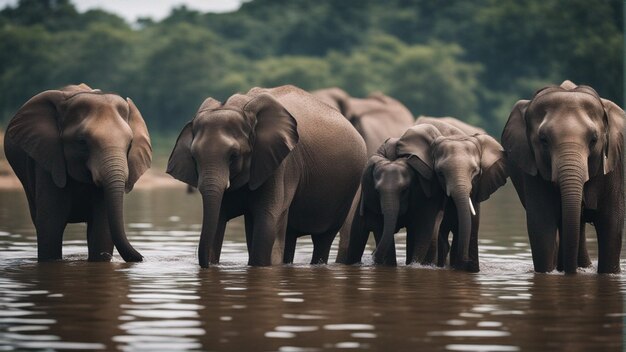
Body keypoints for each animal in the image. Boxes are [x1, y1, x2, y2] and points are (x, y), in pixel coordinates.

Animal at [3, 84, 151, 262]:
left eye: (130, 143)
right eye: (82, 142)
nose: (141, 258)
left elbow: (101, 228)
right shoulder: (48, 161)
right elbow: (50, 224)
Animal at [166, 84, 366, 266]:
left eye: (234, 155)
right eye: (194, 157)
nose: (206, 265)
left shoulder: (281, 164)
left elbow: (267, 220)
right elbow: (220, 219)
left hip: (345, 194)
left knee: (323, 238)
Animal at [500, 80, 620, 276]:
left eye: (594, 140)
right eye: (543, 140)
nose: (570, 273)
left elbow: (610, 224)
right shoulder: (532, 168)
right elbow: (541, 224)